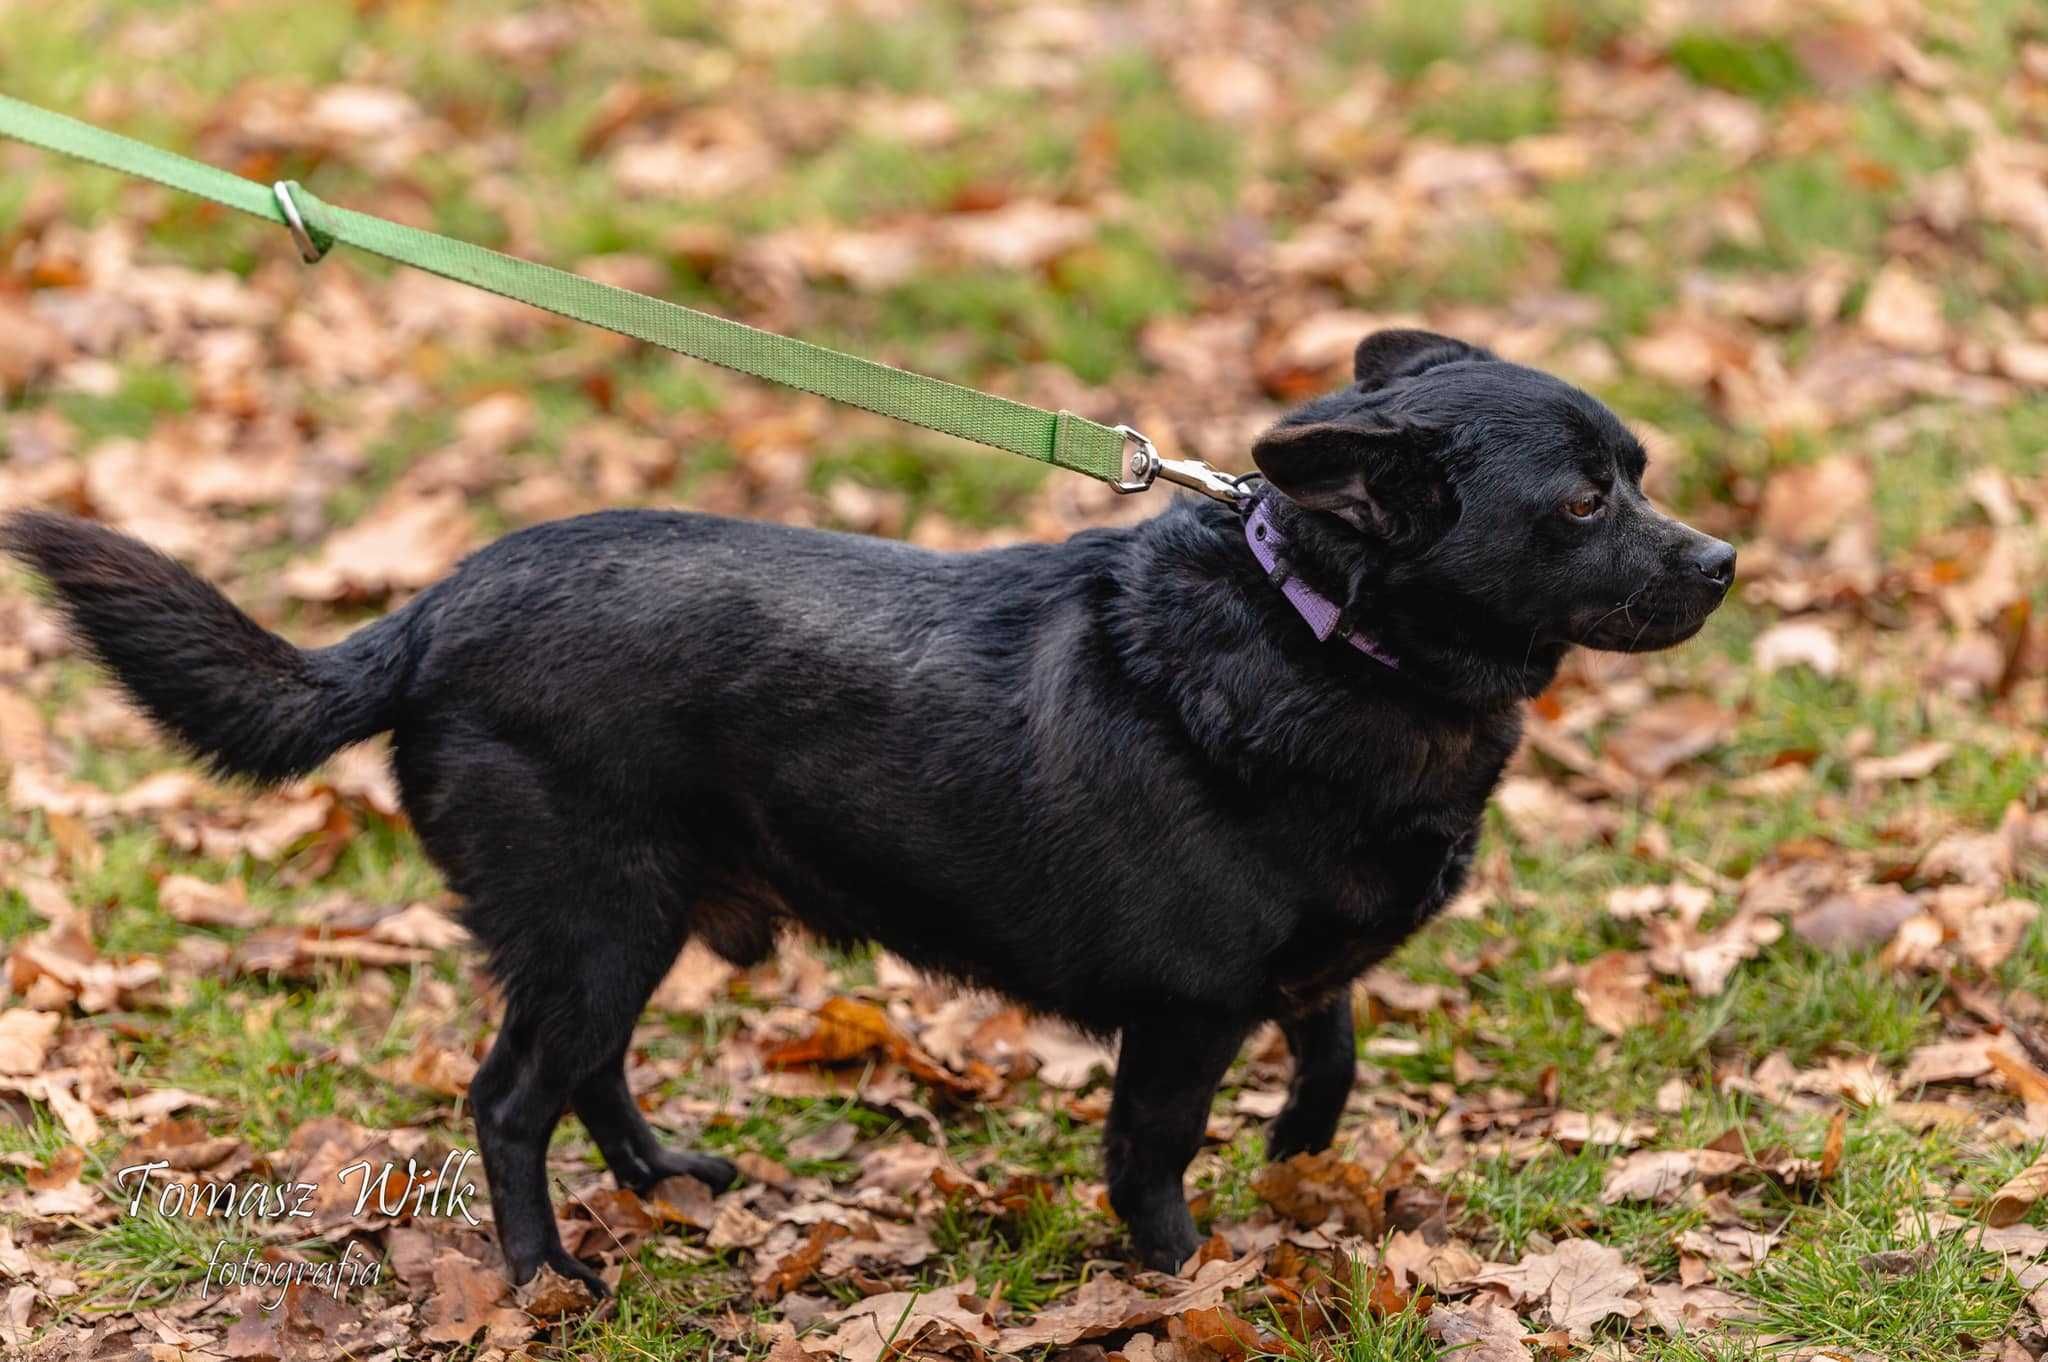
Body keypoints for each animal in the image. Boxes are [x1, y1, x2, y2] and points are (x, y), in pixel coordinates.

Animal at [4, 329, 1728, 1286]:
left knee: (584, 1071)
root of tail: (424, 615)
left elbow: (1335, 1039)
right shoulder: (1183, 1012)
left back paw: (662, 1180)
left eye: (1642, 469)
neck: (1320, 632)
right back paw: (548, 1275)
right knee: (507, 1098)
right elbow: (1153, 1158)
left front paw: (1302, 1148)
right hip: (594, 913)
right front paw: (1188, 1277)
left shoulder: (1289, 969)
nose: (1721, 561)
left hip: (626, 922)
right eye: (1586, 500)